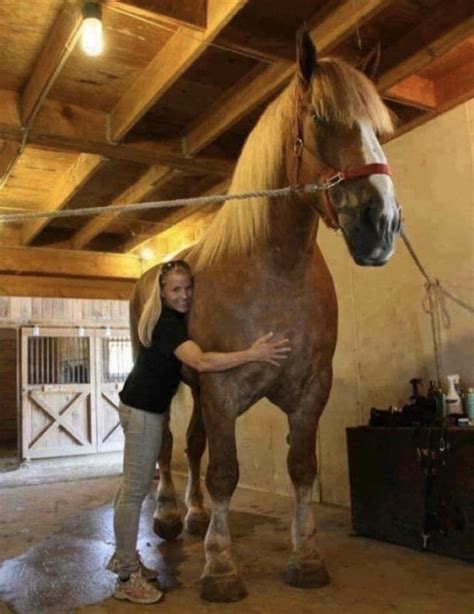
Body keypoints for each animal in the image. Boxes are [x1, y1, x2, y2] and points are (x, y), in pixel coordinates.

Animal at [130, 26, 400, 604]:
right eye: (319, 117)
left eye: (379, 128)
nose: (383, 224)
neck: (275, 270)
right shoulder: (223, 387)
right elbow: (226, 472)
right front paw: (220, 569)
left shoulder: (309, 389)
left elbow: (300, 467)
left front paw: (307, 558)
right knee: (166, 445)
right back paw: (168, 518)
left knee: (192, 445)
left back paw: (194, 517)